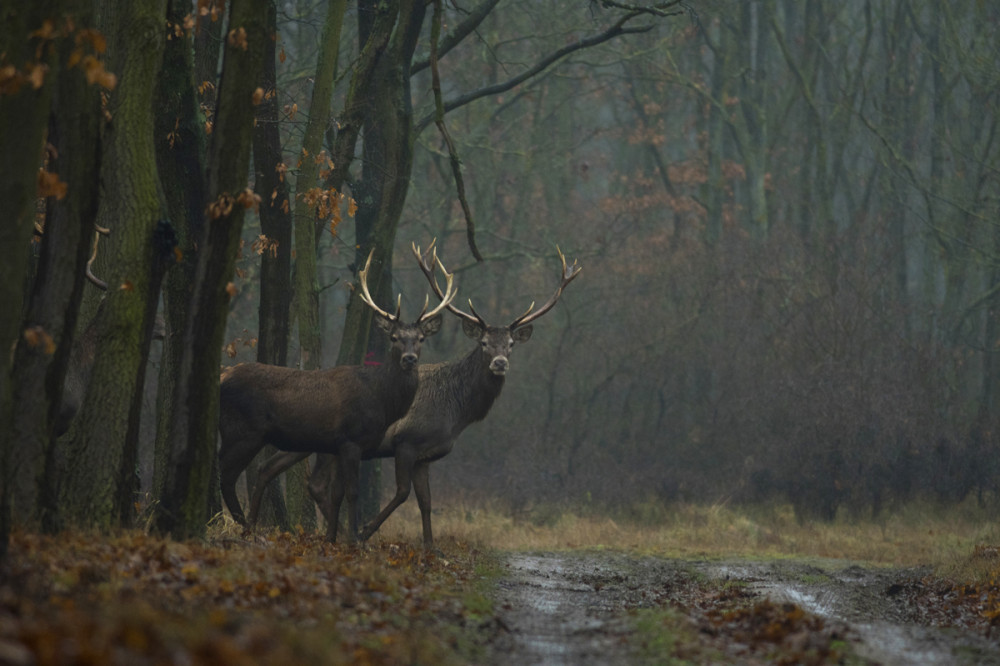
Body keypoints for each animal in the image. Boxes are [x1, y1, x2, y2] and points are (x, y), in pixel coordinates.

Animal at [219, 249, 458, 540]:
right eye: (394, 337)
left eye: (421, 338)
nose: (410, 359)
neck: (380, 400)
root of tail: (222, 377)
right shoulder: (351, 440)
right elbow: (352, 493)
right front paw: (353, 539)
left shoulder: (337, 445)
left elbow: (336, 494)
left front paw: (332, 540)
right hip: (242, 431)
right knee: (225, 474)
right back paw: (243, 526)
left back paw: (248, 526)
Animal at [248, 241, 580, 548]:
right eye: (484, 343)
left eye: (511, 344)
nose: (500, 363)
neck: (457, 412)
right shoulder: (406, 441)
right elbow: (402, 493)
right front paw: (367, 530)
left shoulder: (426, 455)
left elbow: (426, 502)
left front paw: (431, 548)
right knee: (311, 482)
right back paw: (342, 533)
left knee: (275, 469)